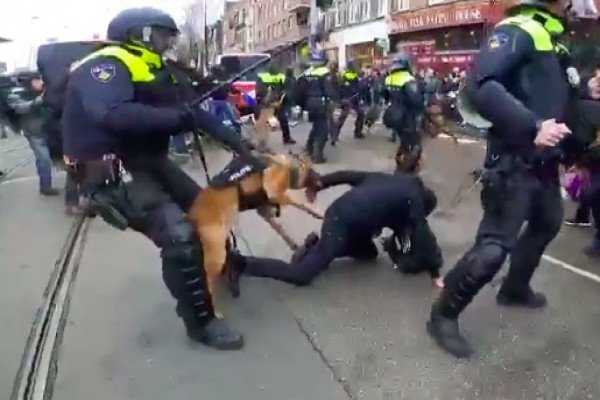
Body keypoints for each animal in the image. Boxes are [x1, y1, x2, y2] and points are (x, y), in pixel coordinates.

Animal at [188, 152, 324, 314]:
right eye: (312, 170)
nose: (322, 180)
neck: (286, 165)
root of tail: (192, 215)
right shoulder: (275, 193)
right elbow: (300, 204)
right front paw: (318, 213)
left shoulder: (264, 210)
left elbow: (280, 229)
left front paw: (296, 246)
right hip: (217, 254)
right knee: (207, 279)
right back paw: (215, 310)